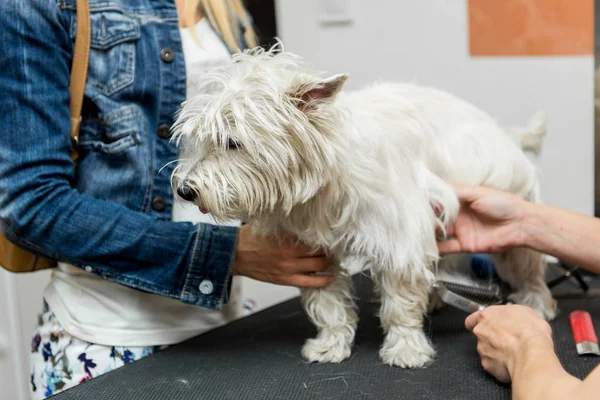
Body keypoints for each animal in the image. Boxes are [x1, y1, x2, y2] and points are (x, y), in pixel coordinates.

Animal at [172, 45, 556, 368]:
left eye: (232, 142)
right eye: (199, 139)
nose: (186, 190)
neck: (323, 185)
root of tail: (504, 132)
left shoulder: (400, 238)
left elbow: (400, 300)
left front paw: (406, 347)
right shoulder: (312, 251)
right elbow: (327, 303)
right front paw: (330, 344)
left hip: (508, 213)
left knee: (527, 265)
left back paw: (537, 302)